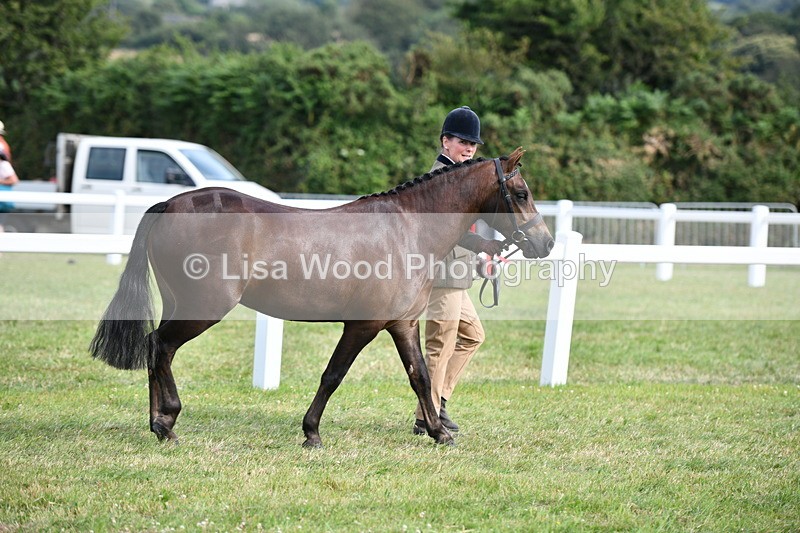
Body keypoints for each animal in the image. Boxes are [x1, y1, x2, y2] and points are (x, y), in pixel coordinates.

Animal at [90, 147, 554, 448]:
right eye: (522, 193)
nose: (545, 243)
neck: (408, 228)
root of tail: (170, 204)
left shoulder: (402, 323)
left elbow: (420, 375)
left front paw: (438, 432)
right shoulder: (363, 325)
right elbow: (333, 375)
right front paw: (311, 432)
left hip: (180, 304)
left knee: (158, 350)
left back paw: (159, 423)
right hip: (203, 309)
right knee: (160, 345)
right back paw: (167, 421)